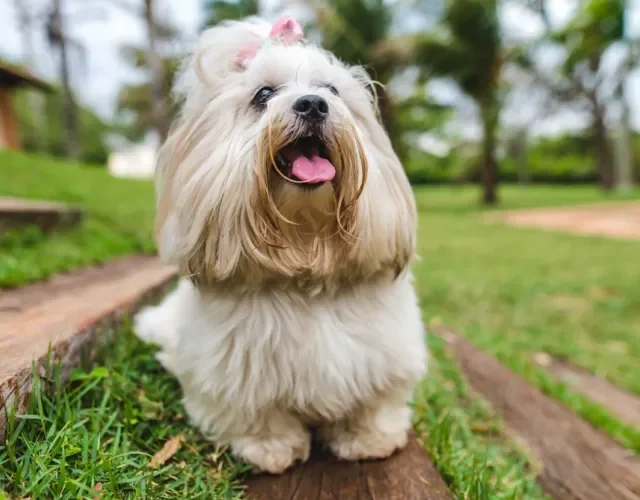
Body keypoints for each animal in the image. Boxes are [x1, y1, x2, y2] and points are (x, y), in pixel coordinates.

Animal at [133, 15, 428, 474]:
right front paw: (271, 449)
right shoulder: (236, 375)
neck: (306, 259)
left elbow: (373, 404)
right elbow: (257, 415)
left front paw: (368, 440)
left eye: (331, 91)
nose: (312, 104)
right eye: (264, 95)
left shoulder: (383, 357)